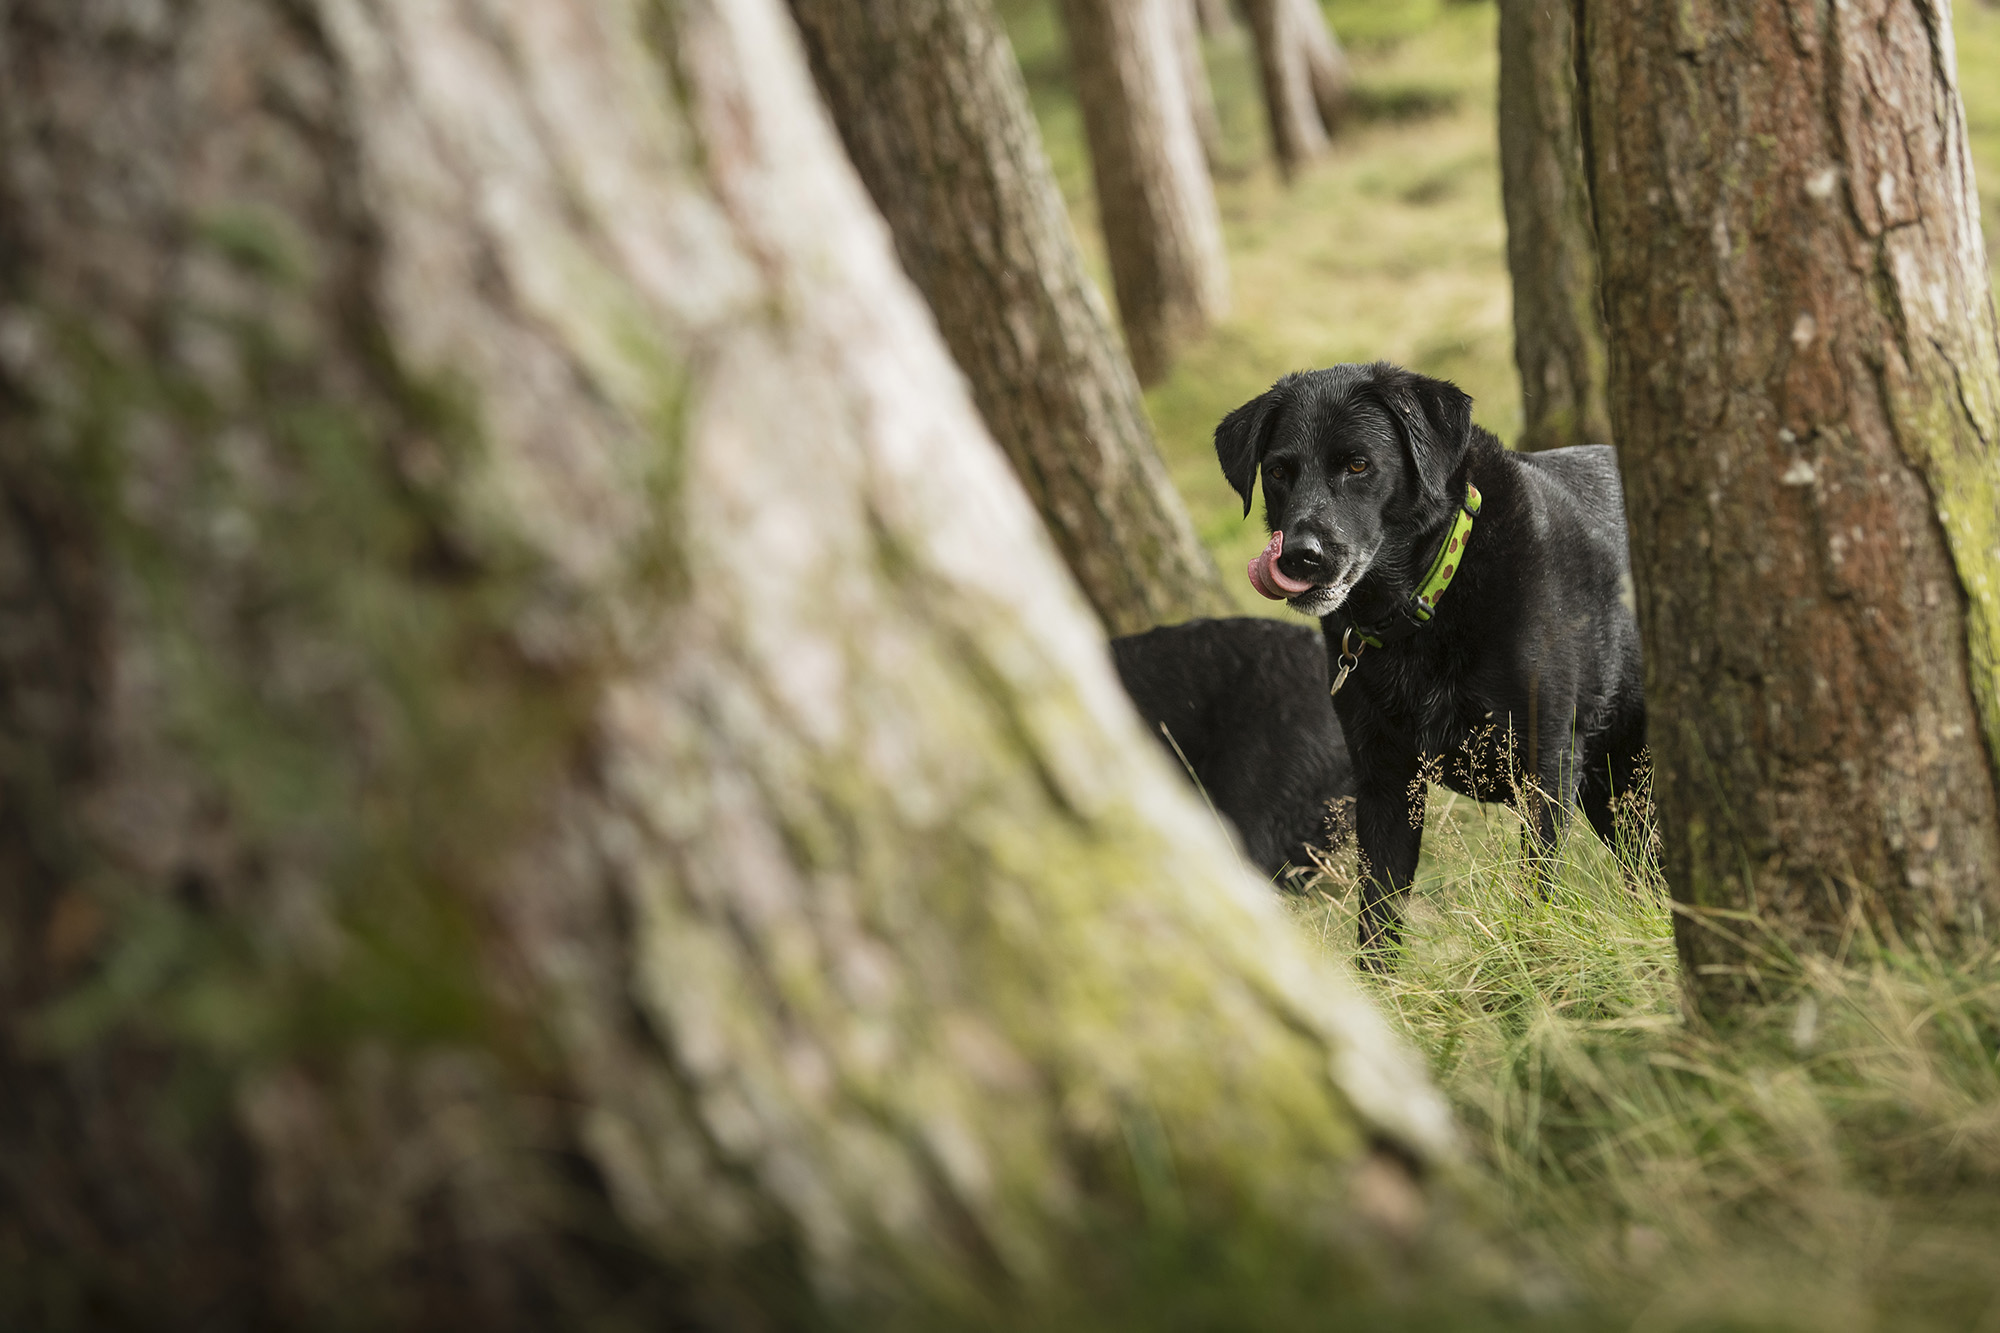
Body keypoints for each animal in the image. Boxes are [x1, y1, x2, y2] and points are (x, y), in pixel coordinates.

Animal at [1216, 358, 1640, 948]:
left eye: (1357, 464)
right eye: (1278, 472)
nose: (1301, 557)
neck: (1426, 601)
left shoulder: (1546, 767)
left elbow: (1535, 896)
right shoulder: (1385, 784)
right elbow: (1377, 921)